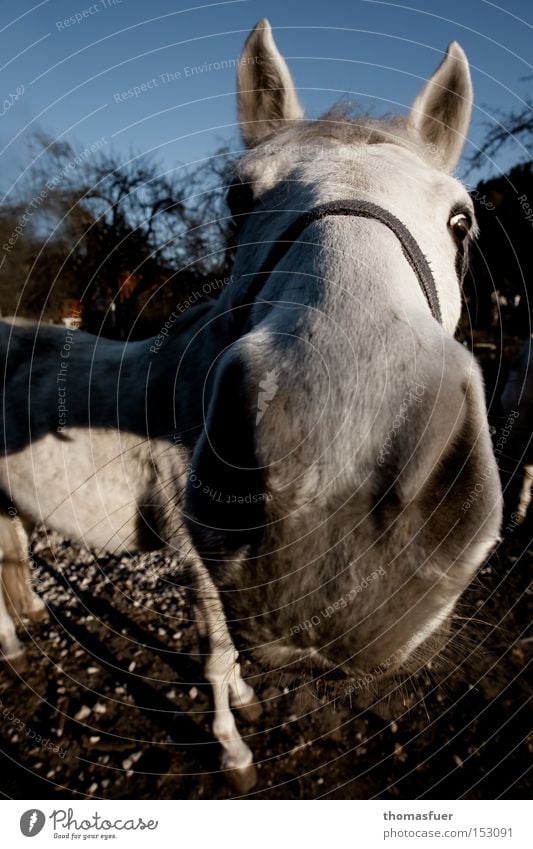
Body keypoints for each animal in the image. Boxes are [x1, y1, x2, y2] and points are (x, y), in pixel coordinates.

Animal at [0, 18, 500, 788]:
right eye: (239, 198)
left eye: (459, 220)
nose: (340, 474)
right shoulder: (198, 559)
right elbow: (216, 653)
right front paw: (232, 751)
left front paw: (243, 701)